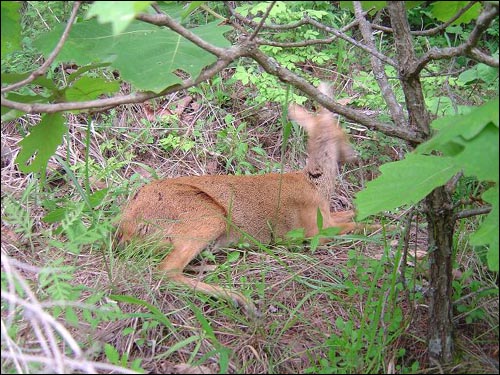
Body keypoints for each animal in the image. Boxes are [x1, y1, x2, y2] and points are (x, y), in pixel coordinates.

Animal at [120, 84, 364, 318]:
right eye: (342, 131)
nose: (354, 156)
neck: (316, 184)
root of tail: (127, 226)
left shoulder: (328, 217)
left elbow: (355, 211)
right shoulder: (313, 232)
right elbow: (357, 226)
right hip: (205, 218)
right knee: (166, 271)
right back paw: (240, 299)